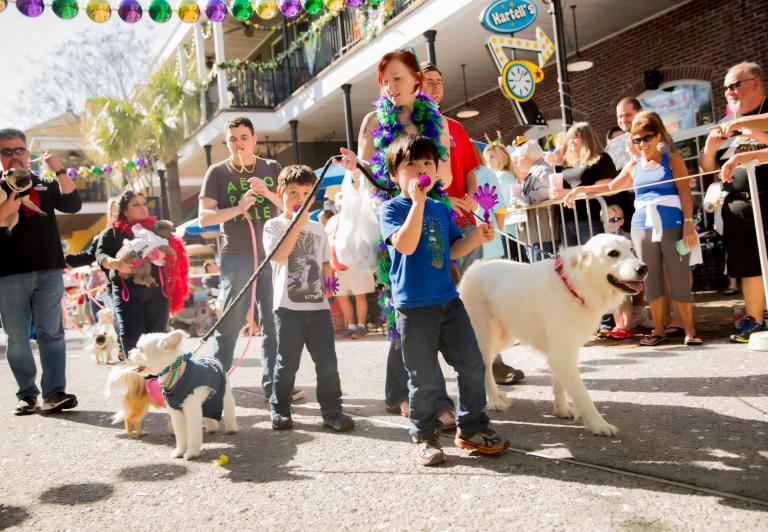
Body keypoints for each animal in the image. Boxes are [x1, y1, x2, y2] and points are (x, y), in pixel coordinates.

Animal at [127, 328, 238, 458]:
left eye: (141, 349)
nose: (128, 353)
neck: (177, 376)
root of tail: (212, 359)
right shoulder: (176, 411)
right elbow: (180, 434)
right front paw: (180, 451)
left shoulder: (191, 409)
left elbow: (193, 433)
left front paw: (191, 453)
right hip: (208, 400)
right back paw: (211, 428)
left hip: (225, 394)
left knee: (229, 410)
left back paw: (232, 429)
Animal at [462, 233, 648, 436]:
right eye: (613, 253)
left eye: (631, 249)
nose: (643, 268)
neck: (573, 286)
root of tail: (474, 267)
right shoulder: (561, 353)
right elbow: (583, 395)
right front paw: (599, 424)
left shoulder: (562, 351)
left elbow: (560, 385)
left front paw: (562, 410)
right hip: (485, 337)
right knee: (484, 367)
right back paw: (495, 401)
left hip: (506, 336)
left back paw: (500, 395)